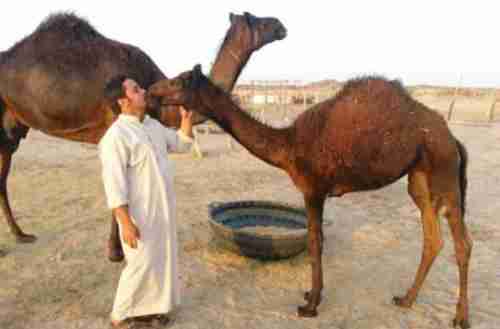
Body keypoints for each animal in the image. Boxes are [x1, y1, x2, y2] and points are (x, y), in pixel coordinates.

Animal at [0, 11, 286, 258]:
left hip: (12, 127)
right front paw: (117, 252)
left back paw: (20, 234)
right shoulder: (113, 124)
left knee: (3, 176)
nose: (280, 25)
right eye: (257, 20)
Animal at [147, 64, 472, 328]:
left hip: (445, 172)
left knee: (462, 243)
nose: (151, 90)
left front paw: (310, 305)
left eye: (179, 80)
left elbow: (315, 243)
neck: (289, 144)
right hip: (419, 178)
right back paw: (406, 299)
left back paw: (460, 318)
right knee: (432, 239)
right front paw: (310, 296)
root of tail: (452, 137)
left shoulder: (313, 189)